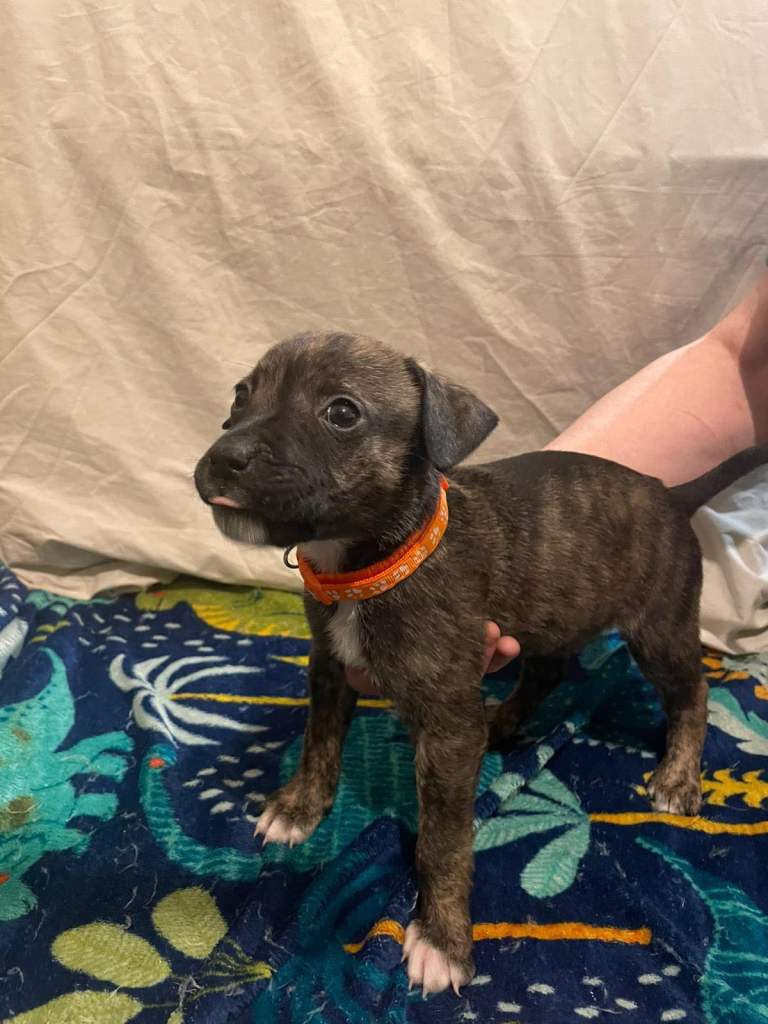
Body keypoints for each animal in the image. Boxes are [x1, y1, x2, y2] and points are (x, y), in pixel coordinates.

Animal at [195, 331, 768, 996]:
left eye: (341, 413)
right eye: (241, 395)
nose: (225, 456)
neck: (371, 559)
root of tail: (669, 492)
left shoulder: (445, 730)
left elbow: (442, 842)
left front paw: (442, 939)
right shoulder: (330, 664)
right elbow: (319, 741)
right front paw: (299, 809)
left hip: (660, 628)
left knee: (692, 694)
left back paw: (677, 777)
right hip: (551, 615)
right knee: (546, 672)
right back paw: (501, 722)